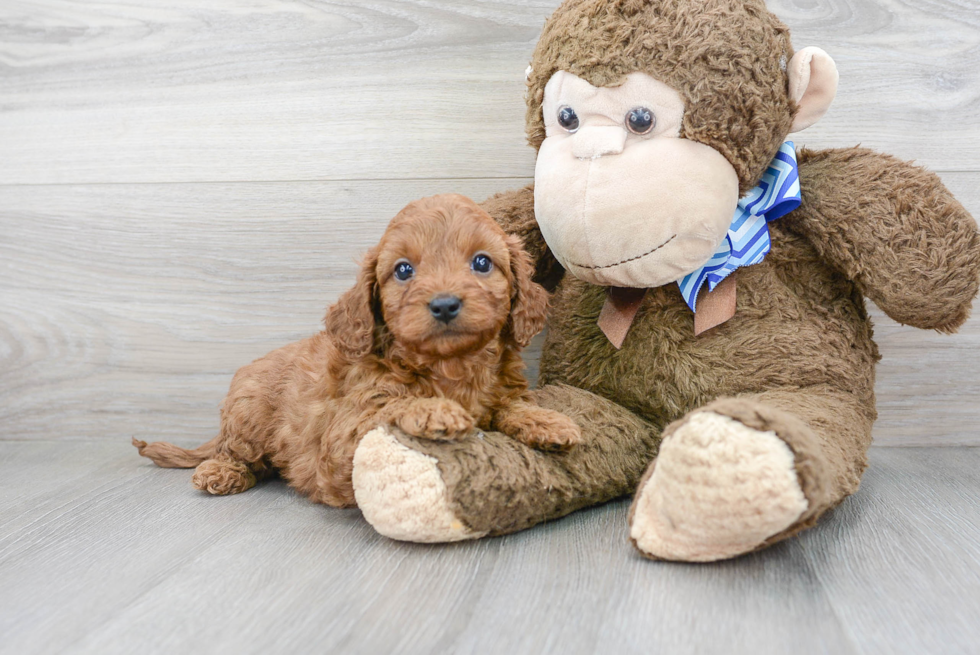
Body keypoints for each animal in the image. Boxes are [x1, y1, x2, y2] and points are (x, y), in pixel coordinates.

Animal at [138, 193, 580, 508]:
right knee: (237, 453)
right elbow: (394, 405)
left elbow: (508, 405)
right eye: (403, 270)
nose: (444, 304)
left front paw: (546, 420)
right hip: (248, 413)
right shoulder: (340, 439)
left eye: (483, 263)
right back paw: (221, 471)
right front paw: (435, 410)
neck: (450, 366)